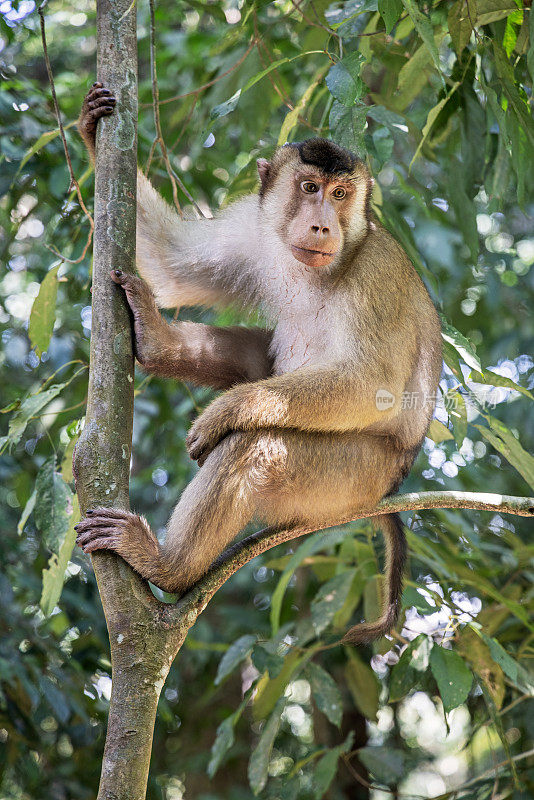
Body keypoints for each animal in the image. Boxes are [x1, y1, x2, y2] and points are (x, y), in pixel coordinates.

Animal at [75, 83, 444, 644]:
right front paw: (94, 128)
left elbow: (372, 385)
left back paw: (169, 566)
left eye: (341, 194)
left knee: (253, 447)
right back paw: (158, 342)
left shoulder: (375, 274)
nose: (322, 224)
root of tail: (392, 485)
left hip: (351, 480)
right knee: (259, 356)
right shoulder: (254, 226)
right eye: (310, 186)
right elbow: (176, 262)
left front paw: (226, 413)